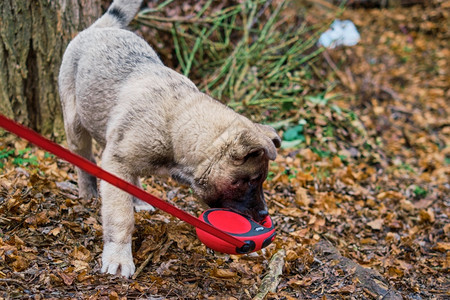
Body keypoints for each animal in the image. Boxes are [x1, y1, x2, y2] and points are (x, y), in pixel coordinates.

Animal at [58, 0, 280, 278]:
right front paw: (118, 257)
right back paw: (88, 192)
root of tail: (100, 28)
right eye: (249, 181)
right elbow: (120, 217)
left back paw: (138, 199)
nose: (263, 215)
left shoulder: (122, 158)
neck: (176, 124)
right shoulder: (117, 162)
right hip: (75, 123)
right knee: (83, 158)